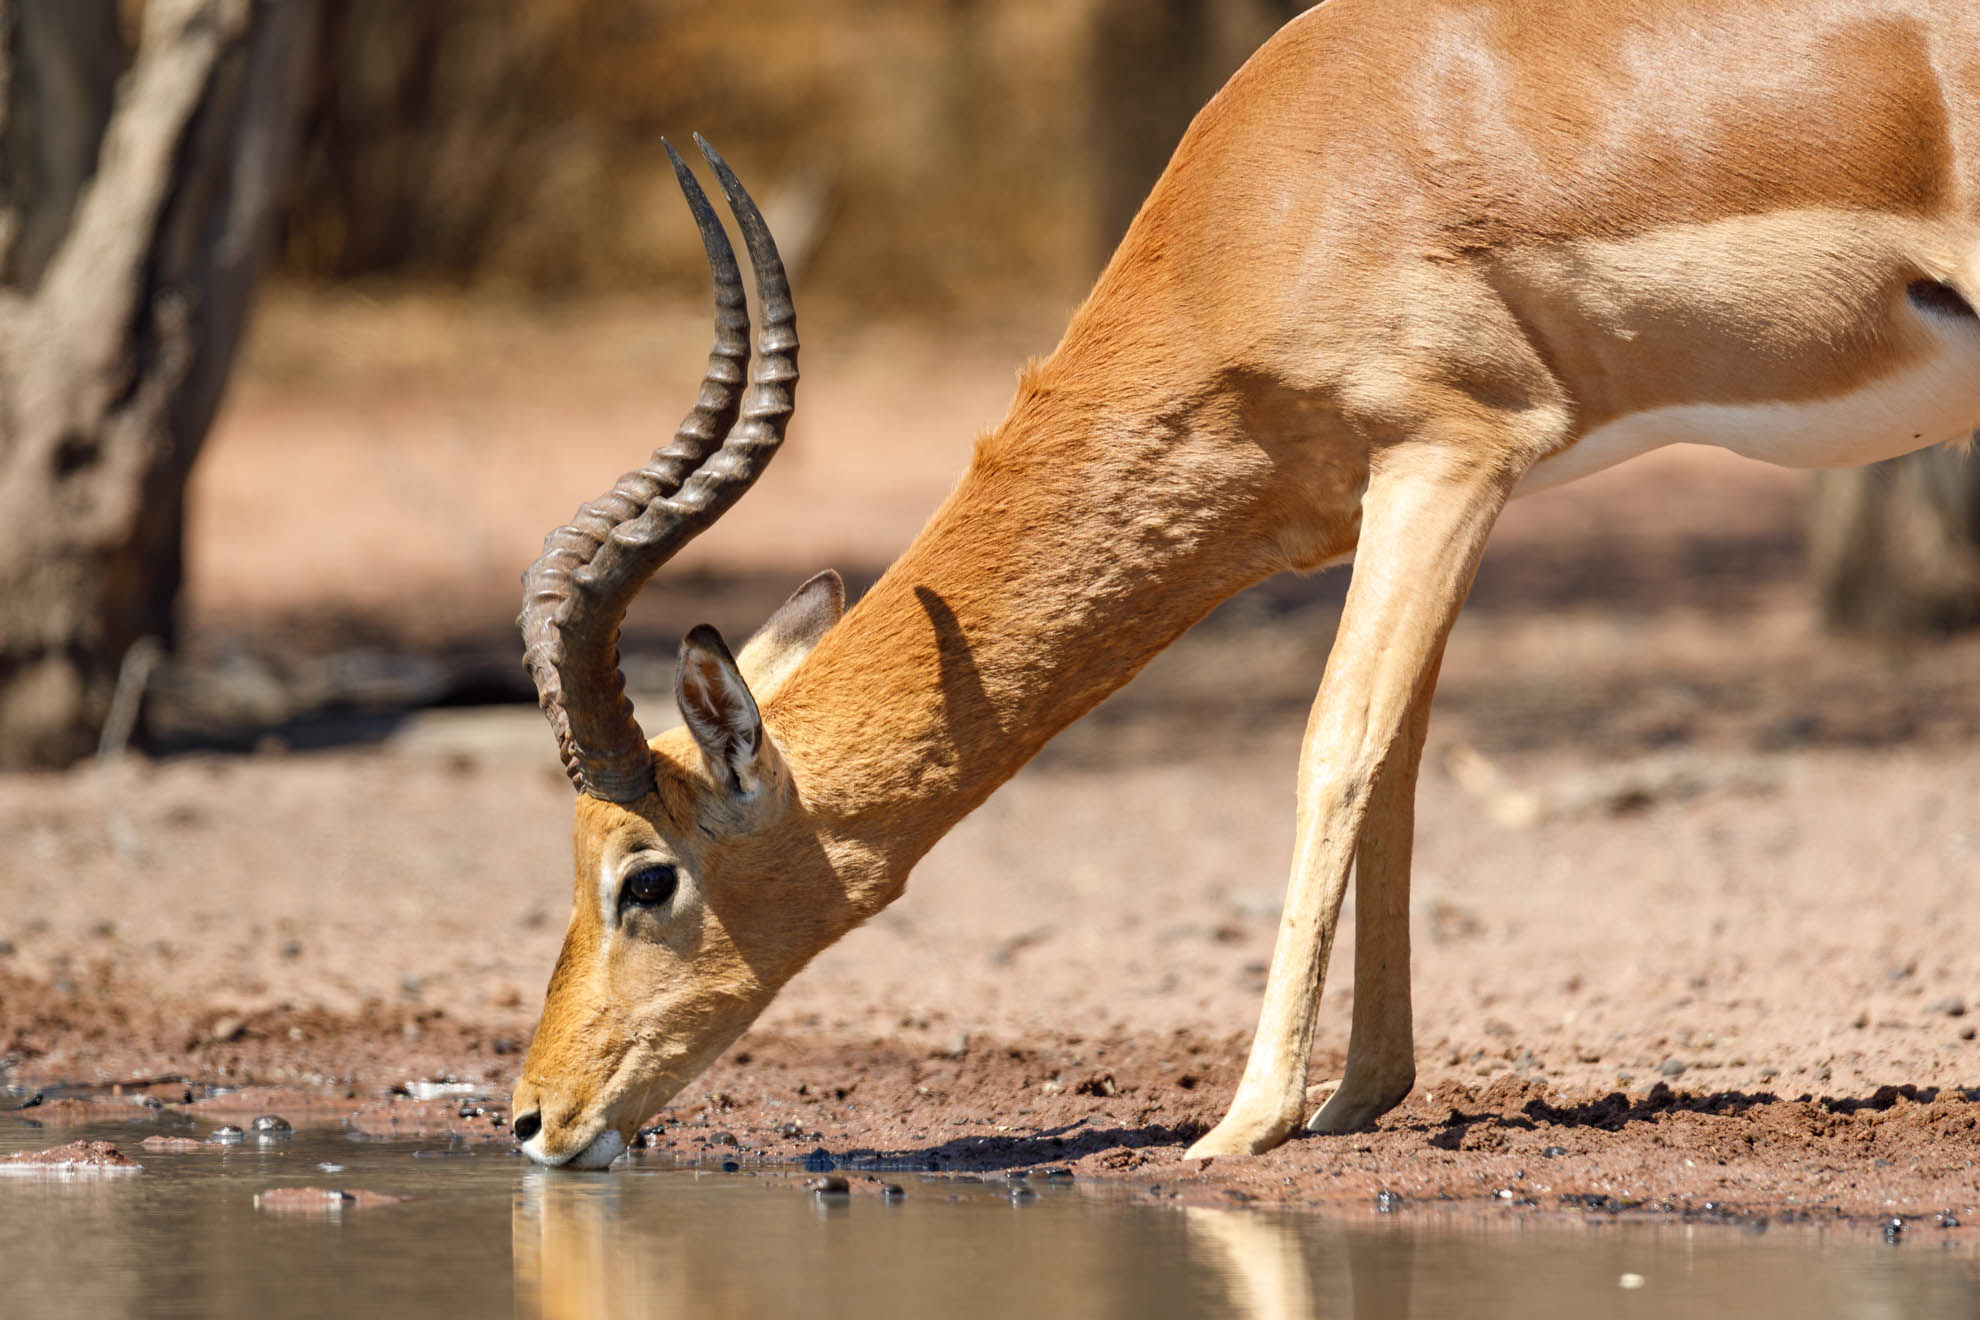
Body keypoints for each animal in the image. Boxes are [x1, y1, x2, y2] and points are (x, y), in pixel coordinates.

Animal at [509, 2, 1980, 1169]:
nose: (533, 1120)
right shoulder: (1418, 492)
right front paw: (1357, 1098)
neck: (1285, 184)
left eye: (646, 878)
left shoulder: (1451, 455)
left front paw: (1244, 1120)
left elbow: (1336, 746)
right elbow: (1399, 765)